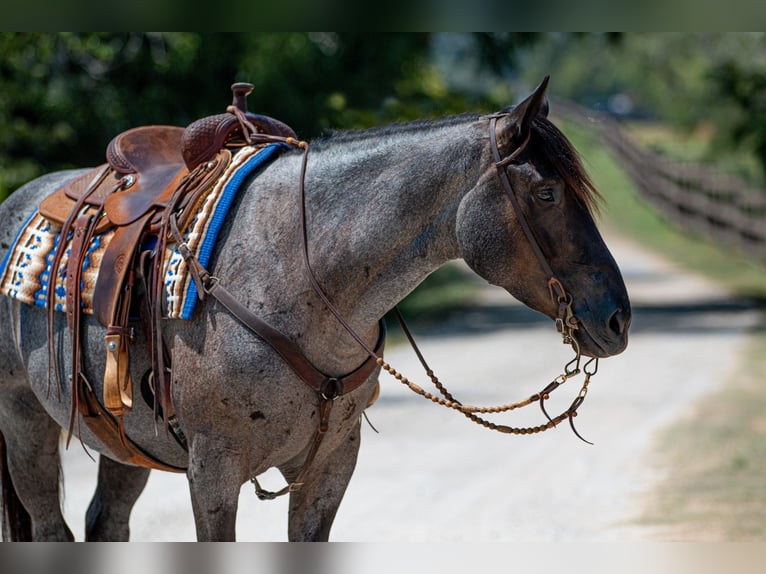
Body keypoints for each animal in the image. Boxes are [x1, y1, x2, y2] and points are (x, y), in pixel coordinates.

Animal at [0, 79, 632, 544]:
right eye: (546, 194)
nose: (617, 320)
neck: (295, 275)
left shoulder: (330, 465)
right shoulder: (213, 471)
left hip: (126, 440)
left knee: (105, 521)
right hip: (23, 419)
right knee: (50, 528)